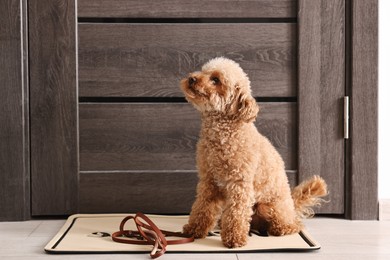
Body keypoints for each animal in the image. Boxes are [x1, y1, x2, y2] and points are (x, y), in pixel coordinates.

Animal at [181, 57, 328, 248]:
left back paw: (281, 228)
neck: (223, 133)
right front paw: (193, 230)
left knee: (292, 225)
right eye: (203, 71)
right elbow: (202, 207)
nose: (191, 78)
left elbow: (236, 213)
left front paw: (234, 239)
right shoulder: (209, 181)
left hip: (270, 207)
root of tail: (292, 206)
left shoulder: (240, 183)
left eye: (216, 80)